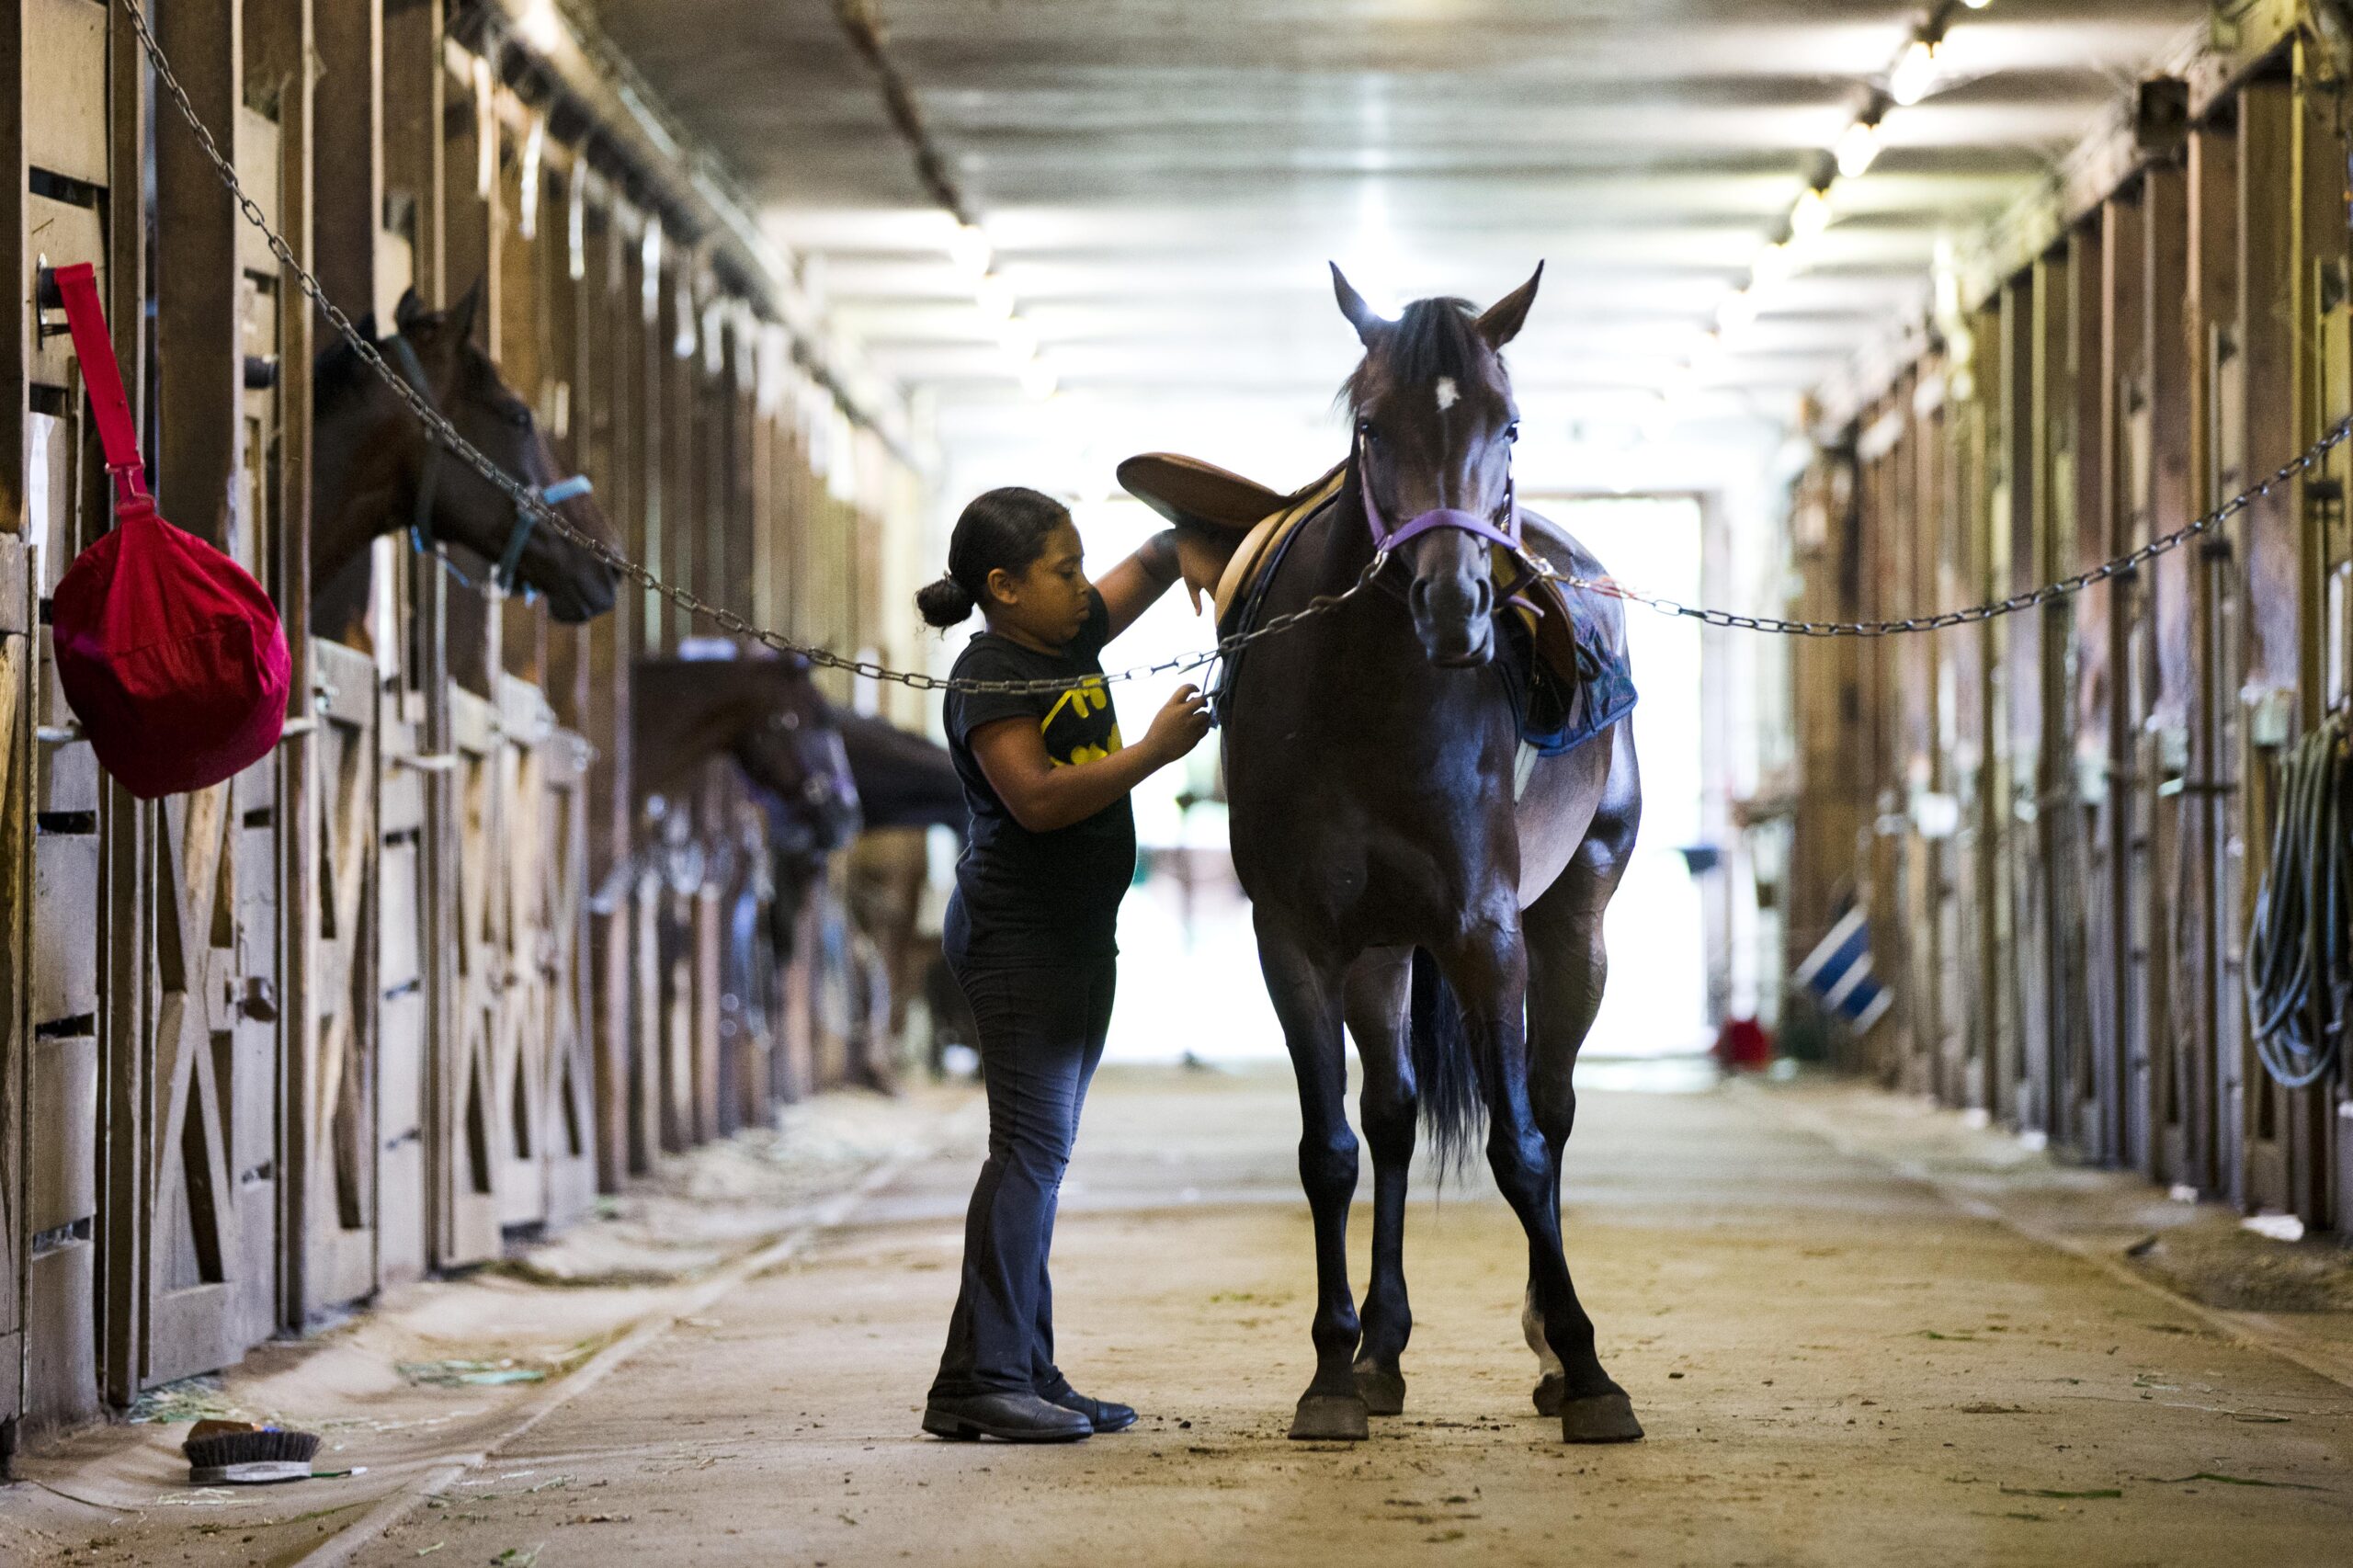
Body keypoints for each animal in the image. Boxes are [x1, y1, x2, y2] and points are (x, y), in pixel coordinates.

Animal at [1148, 266, 1647, 1440]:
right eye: (1370, 426)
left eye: (1507, 424)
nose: (1454, 603)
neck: (1369, 697)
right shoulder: (1296, 937)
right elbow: (1330, 1149)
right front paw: (1333, 1371)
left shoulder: (1483, 928)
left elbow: (1518, 1147)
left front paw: (1589, 1367)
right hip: (1380, 950)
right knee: (1392, 1116)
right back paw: (1380, 1349)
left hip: (1574, 917)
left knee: (1550, 1109)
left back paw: (1547, 1346)